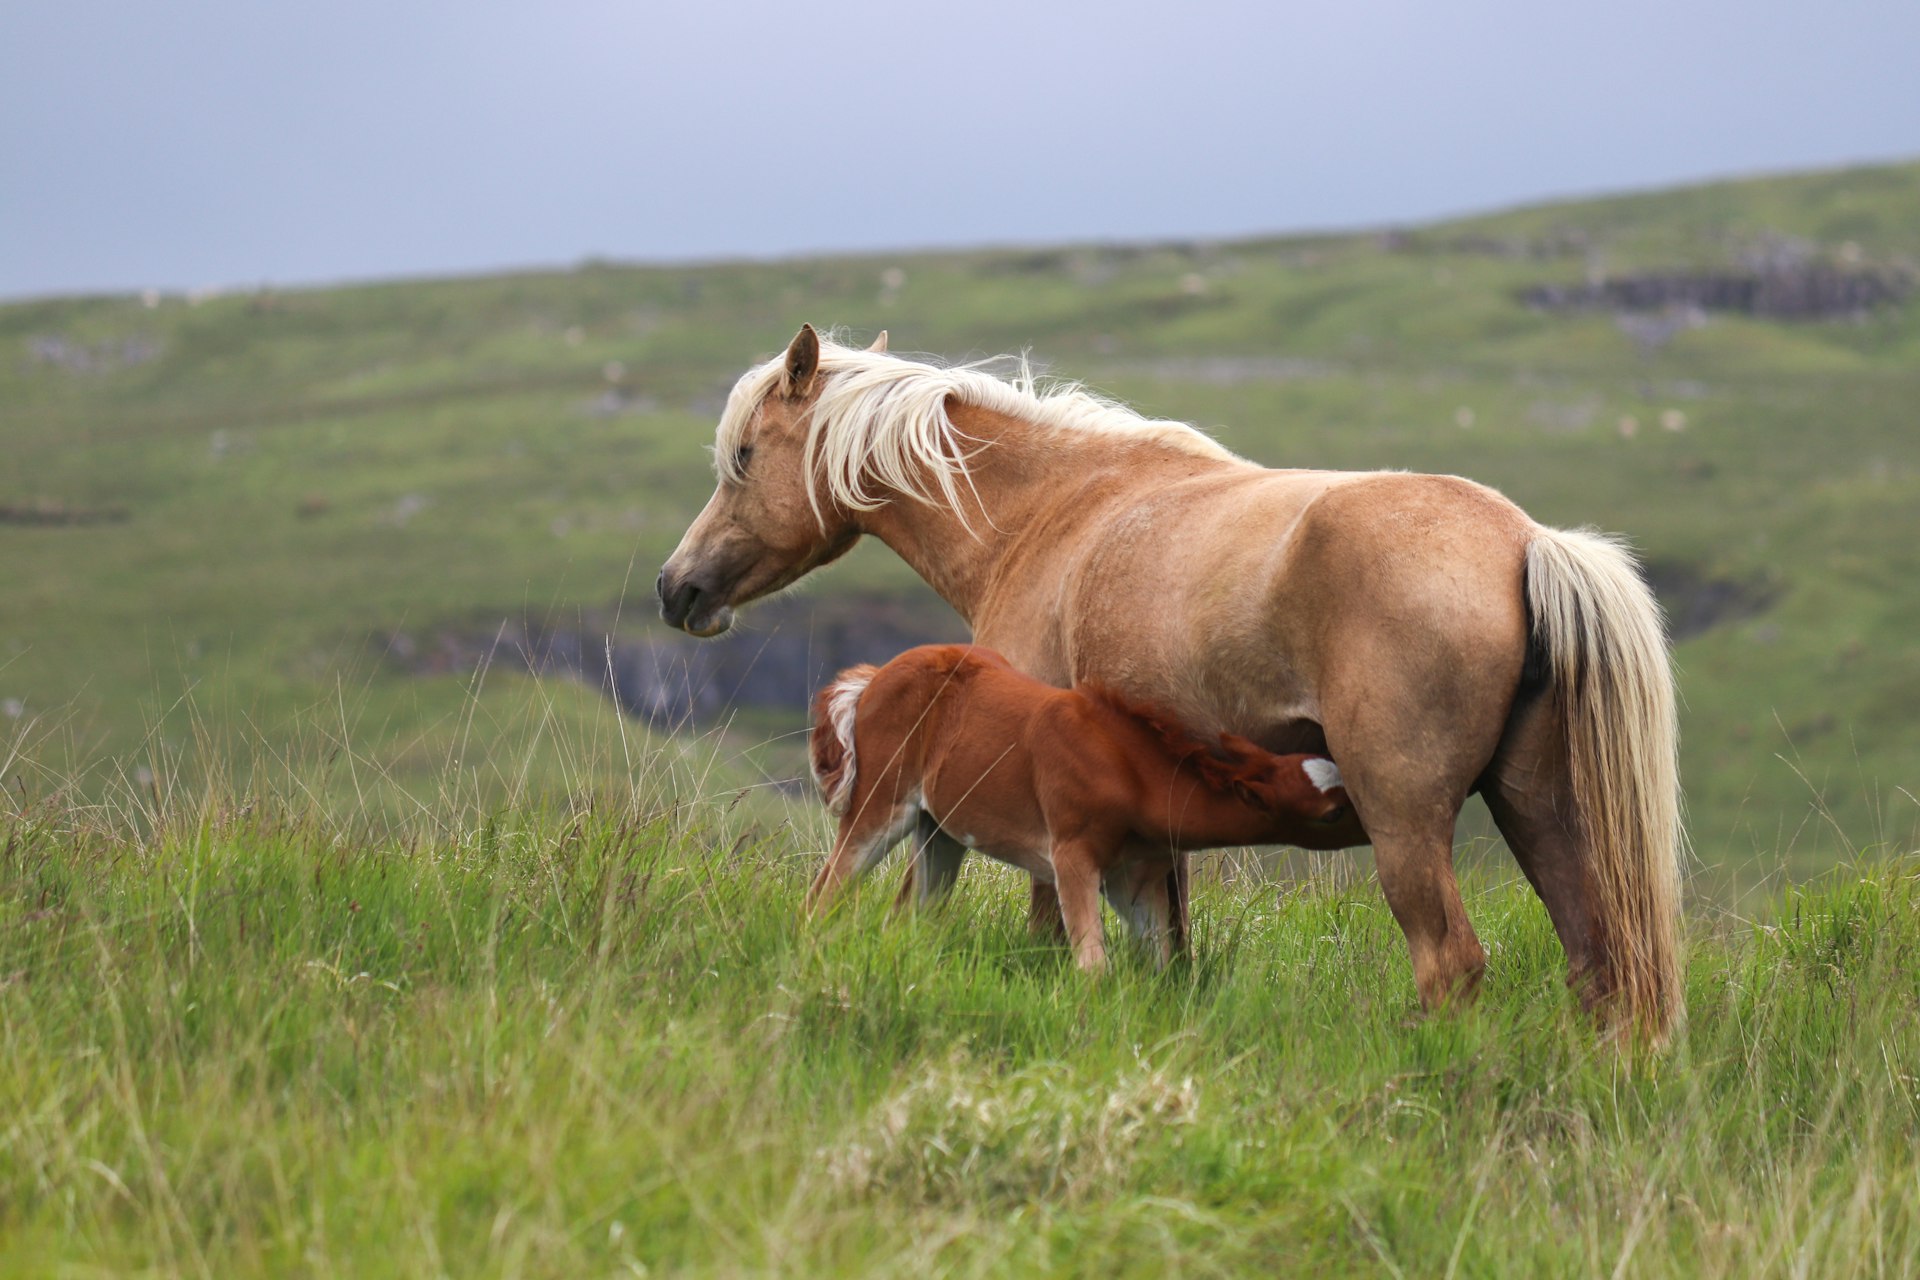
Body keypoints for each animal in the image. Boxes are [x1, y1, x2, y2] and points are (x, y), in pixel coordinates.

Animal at [804, 643, 1363, 970]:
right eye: (1331, 813)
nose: (1370, 823)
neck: (1130, 772)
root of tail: (874, 676)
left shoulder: (1134, 879)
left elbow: (1159, 961)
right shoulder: (1070, 857)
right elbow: (1094, 965)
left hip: (938, 829)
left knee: (910, 916)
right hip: (881, 804)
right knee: (827, 890)